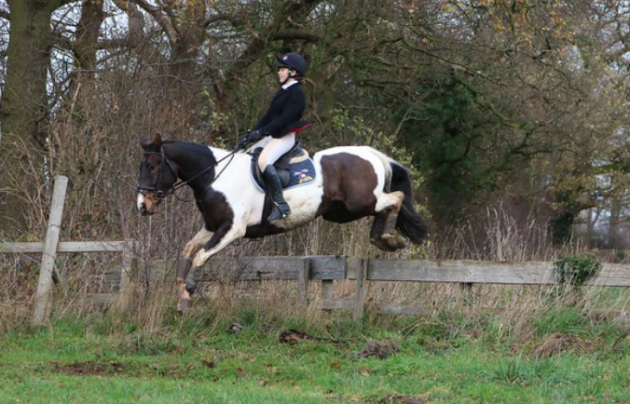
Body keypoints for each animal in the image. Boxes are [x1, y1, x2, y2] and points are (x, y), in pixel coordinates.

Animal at [136, 133, 428, 310]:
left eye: (152, 167)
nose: (142, 206)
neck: (216, 176)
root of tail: (371, 153)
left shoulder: (232, 230)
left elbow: (200, 257)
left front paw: (187, 294)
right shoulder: (212, 227)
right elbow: (187, 251)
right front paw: (180, 290)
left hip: (360, 202)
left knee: (395, 197)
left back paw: (386, 238)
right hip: (341, 211)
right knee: (387, 203)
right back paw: (383, 237)